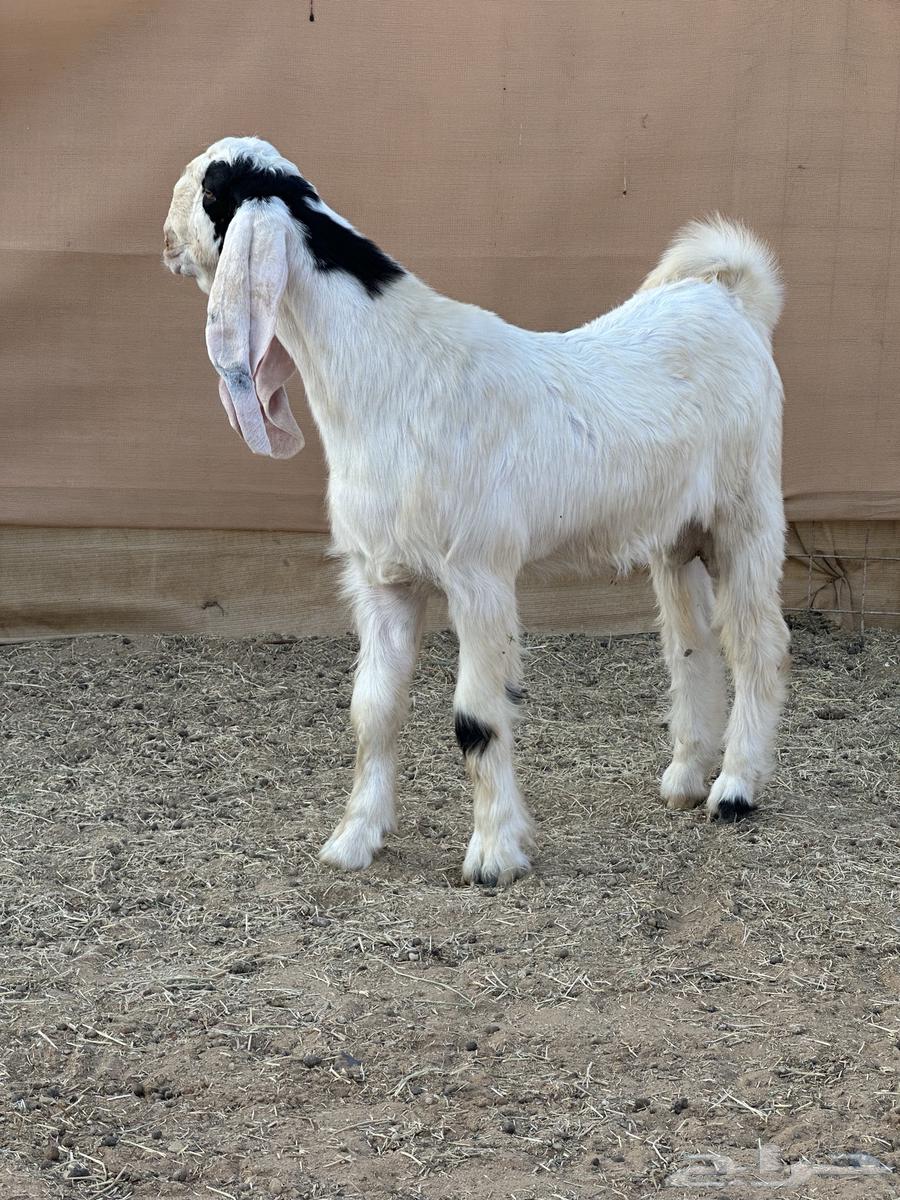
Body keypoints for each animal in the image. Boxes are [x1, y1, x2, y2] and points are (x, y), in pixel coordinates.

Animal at [163, 136, 790, 886]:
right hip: (676, 532)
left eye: (208, 190)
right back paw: (687, 778)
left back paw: (736, 789)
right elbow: (373, 710)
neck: (393, 373)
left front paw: (494, 854)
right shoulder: (383, 576)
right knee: (690, 643)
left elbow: (477, 718)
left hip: (746, 511)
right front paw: (354, 840)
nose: (165, 242)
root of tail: (730, 297)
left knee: (756, 641)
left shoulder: (478, 572)